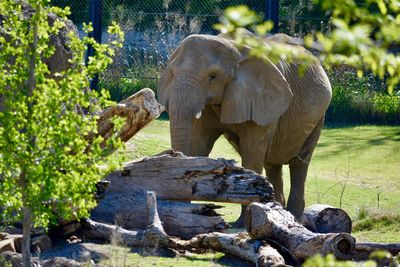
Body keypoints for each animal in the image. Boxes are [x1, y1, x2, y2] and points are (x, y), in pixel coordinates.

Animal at [158, 31, 332, 224]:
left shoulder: (261, 96)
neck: (231, 46)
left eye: (213, 76)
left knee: (299, 163)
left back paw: (293, 217)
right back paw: (278, 209)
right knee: (272, 163)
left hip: (319, 116)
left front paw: (244, 221)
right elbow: (198, 145)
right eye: (172, 72)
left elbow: (252, 152)